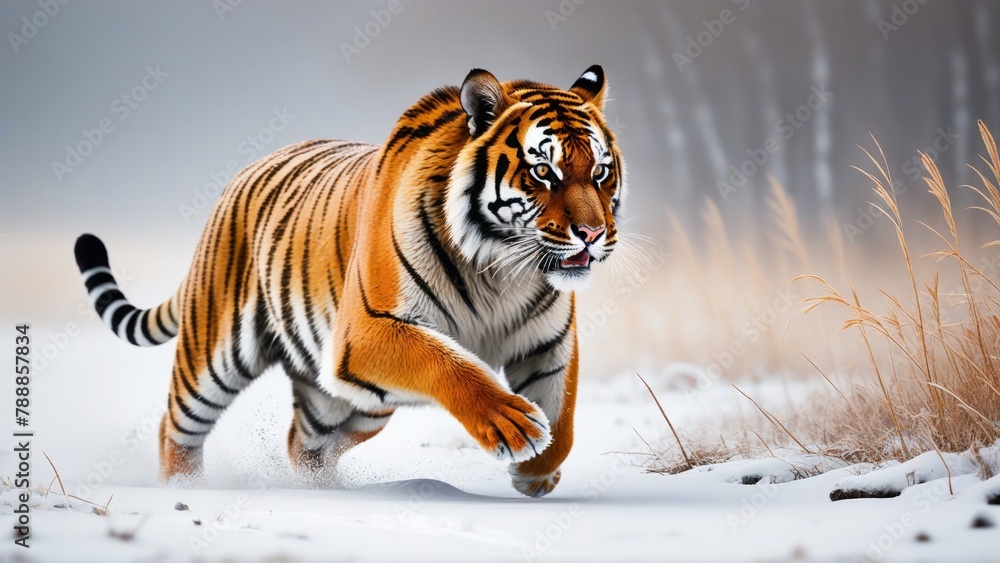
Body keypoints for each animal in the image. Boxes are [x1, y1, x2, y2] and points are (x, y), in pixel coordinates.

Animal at [73, 65, 625, 498]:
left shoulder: (547, 343)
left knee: (306, 444)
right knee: (176, 427)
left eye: (600, 172)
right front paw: (511, 425)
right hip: (214, 355)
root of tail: (244, 172)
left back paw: (319, 490)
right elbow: (450, 362)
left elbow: (564, 418)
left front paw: (537, 471)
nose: (593, 233)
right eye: (544, 172)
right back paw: (183, 489)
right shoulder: (368, 330)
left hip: (357, 400)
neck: (501, 268)